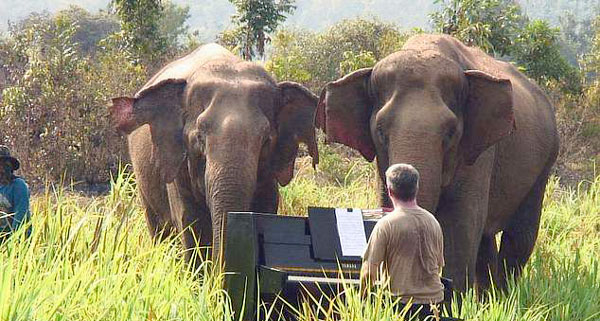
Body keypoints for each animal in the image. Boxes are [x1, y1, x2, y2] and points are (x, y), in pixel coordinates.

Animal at [316, 34, 560, 290]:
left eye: (451, 133)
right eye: (380, 131)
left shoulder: (477, 154)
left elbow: (459, 227)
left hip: (544, 163)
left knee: (519, 238)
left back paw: (503, 295)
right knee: (485, 241)